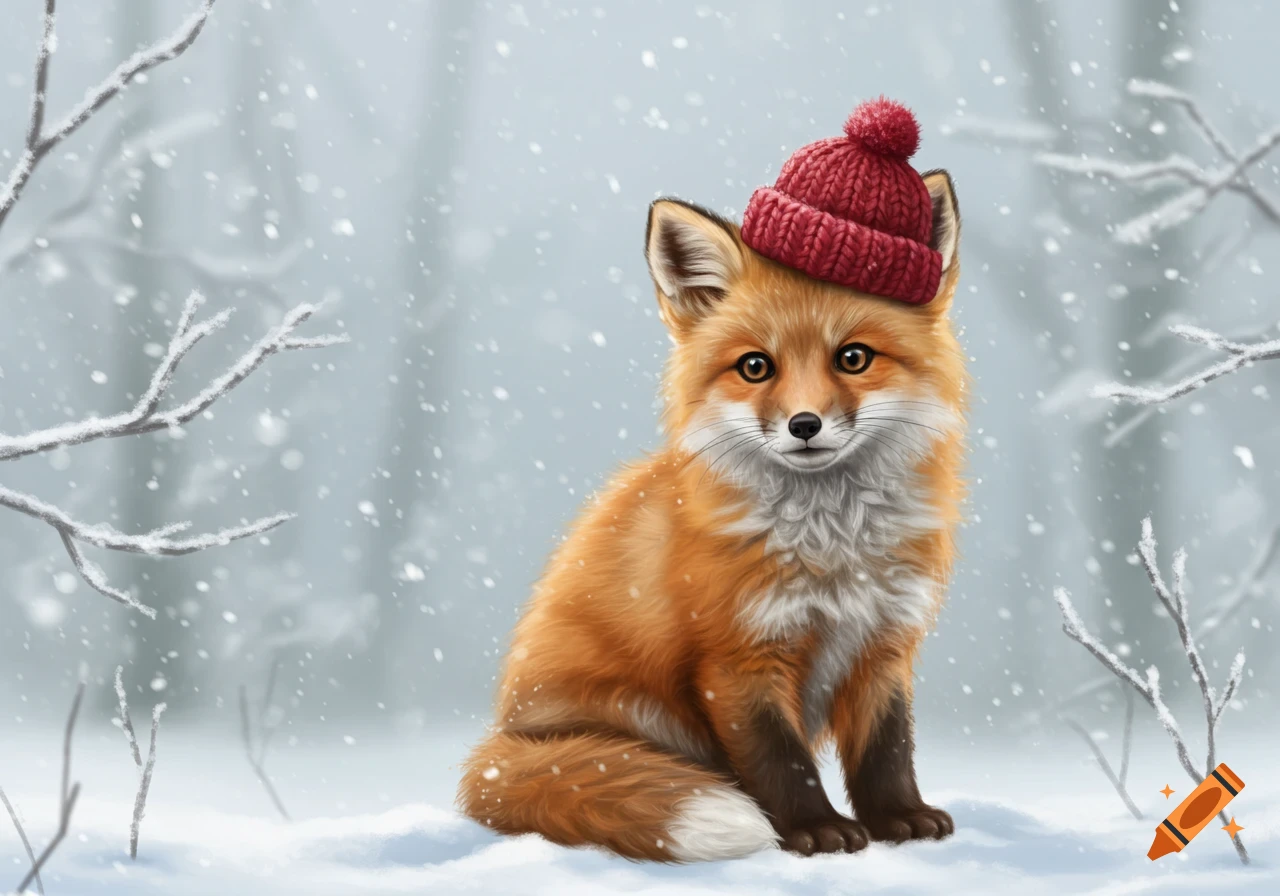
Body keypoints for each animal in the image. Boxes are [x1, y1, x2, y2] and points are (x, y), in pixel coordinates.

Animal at [458, 103, 965, 862]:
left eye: (853, 358)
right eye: (755, 367)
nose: (805, 425)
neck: (833, 548)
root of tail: (500, 742)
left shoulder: (884, 645)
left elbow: (887, 747)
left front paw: (898, 818)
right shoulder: (736, 658)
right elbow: (780, 760)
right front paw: (814, 831)